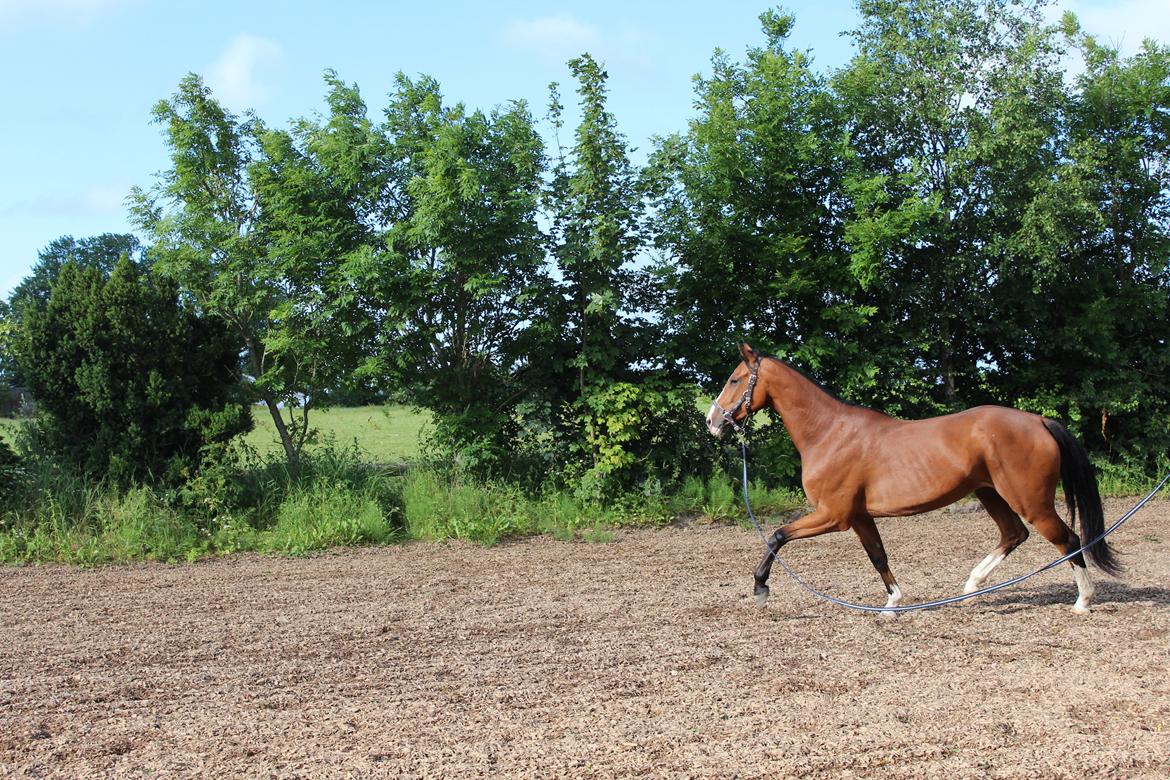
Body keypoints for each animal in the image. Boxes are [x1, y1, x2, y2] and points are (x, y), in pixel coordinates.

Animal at [706, 343, 1118, 617]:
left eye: (735, 379)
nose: (712, 422)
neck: (829, 433)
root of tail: (1038, 421)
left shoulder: (834, 516)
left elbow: (777, 536)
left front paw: (760, 588)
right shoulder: (859, 517)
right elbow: (877, 555)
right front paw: (893, 603)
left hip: (1030, 501)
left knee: (1069, 540)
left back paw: (1082, 601)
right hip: (990, 494)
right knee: (1014, 534)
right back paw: (970, 588)